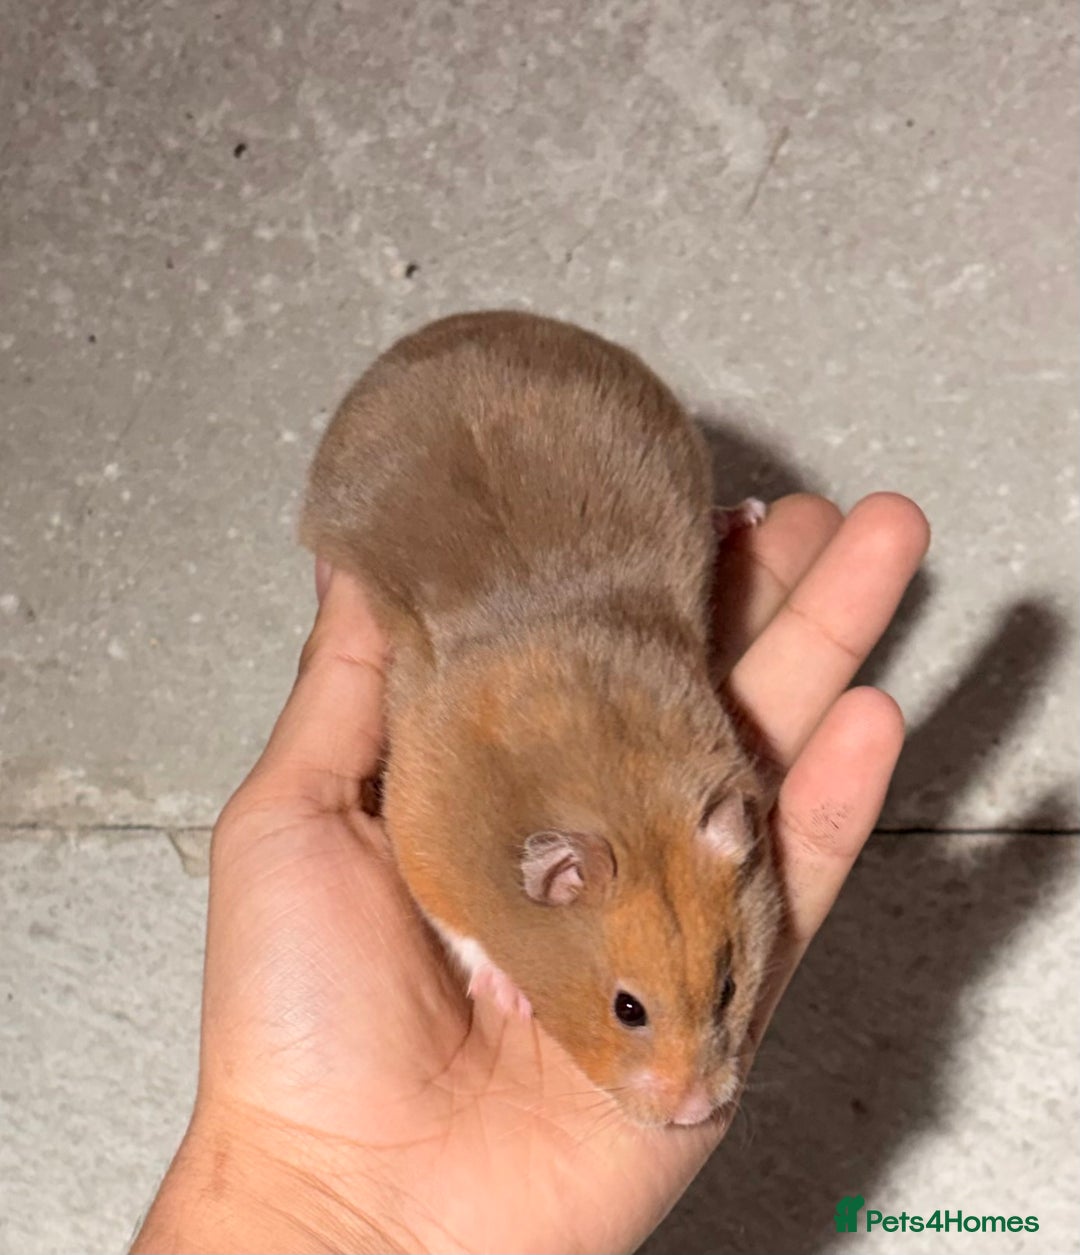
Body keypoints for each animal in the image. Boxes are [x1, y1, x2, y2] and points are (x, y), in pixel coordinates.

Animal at [300, 311, 781, 1128]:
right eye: (627, 1009)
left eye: (727, 988)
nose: (692, 1114)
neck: (617, 799)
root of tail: (467, 321)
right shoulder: (421, 827)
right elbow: (458, 924)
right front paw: (508, 995)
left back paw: (746, 514)